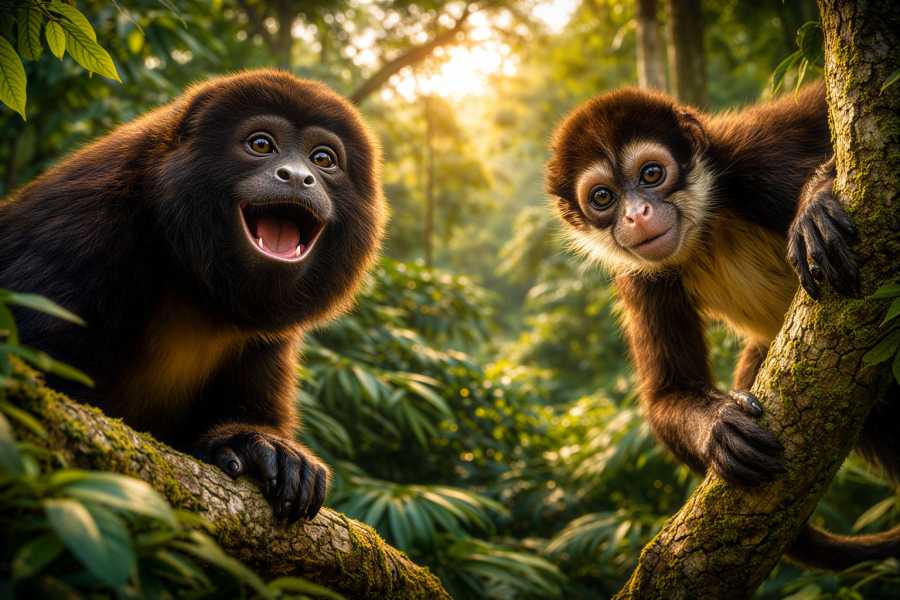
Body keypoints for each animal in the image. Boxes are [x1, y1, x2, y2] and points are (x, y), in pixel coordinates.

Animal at [546, 81, 900, 569]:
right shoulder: (638, 276)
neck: (705, 230)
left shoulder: (753, 160)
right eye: (603, 198)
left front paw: (816, 201)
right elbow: (667, 393)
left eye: (652, 174)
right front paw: (718, 427)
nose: (636, 214)